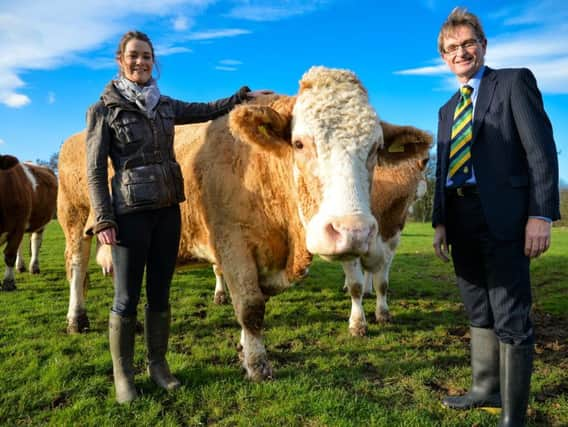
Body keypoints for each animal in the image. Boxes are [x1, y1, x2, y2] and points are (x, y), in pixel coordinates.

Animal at [0, 155, 57, 292]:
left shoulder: (17, 226)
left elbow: (9, 254)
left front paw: (8, 283)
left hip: (39, 222)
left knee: (36, 242)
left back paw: (34, 267)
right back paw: (20, 266)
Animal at [58, 67, 430, 382]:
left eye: (376, 148)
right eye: (299, 143)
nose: (352, 231)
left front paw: (243, 346)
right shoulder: (232, 242)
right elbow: (251, 306)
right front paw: (257, 365)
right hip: (73, 218)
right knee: (76, 267)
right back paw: (76, 319)